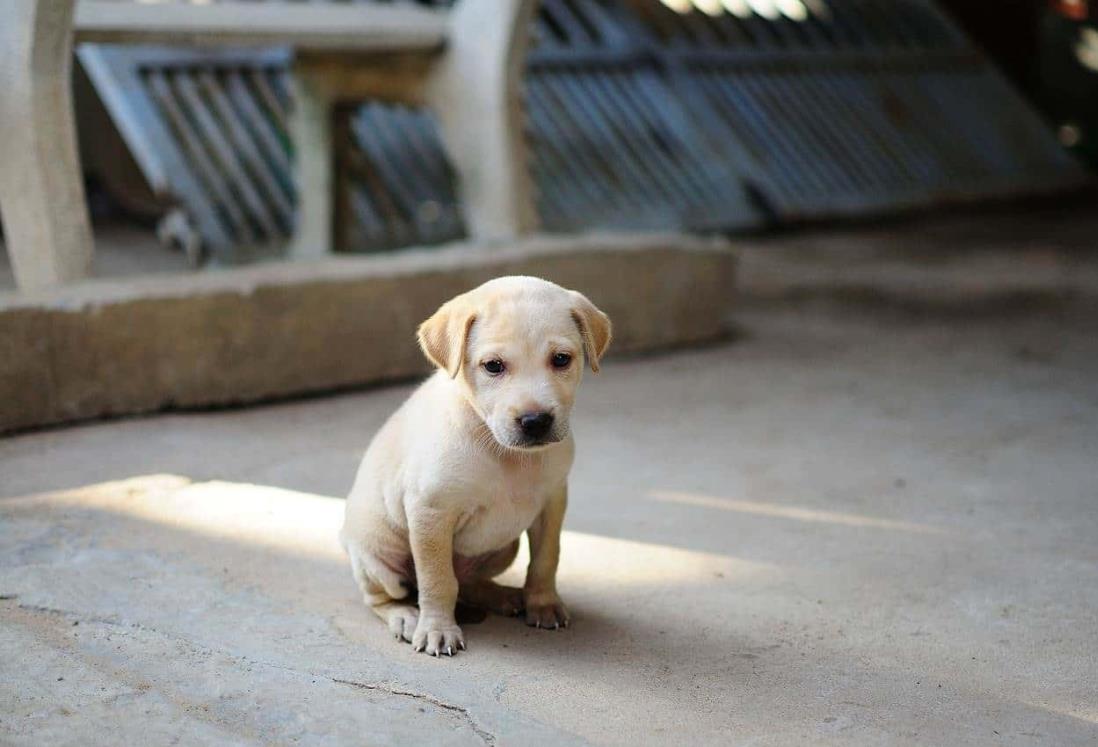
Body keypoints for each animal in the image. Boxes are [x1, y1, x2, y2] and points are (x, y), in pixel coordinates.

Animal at [338, 274, 614, 654]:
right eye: (493, 366)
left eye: (561, 359)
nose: (535, 421)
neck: (503, 452)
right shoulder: (430, 512)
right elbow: (437, 579)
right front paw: (437, 628)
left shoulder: (552, 502)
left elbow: (546, 558)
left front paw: (543, 603)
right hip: (378, 555)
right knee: (387, 596)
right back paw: (406, 616)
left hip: (504, 547)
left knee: (467, 582)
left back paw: (501, 596)